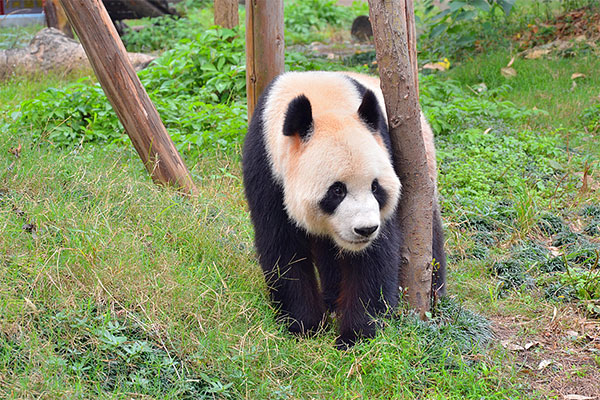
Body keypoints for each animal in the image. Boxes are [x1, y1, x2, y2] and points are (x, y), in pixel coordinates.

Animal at [240, 71, 446, 346]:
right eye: (337, 190)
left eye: (375, 187)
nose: (365, 229)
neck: (323, 102)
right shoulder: (266, 166)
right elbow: (282, 244)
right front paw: (304, 326)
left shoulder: (384, 149)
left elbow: (375, 256)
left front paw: (356, 335)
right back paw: (331, 299)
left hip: (425, 160)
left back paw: (437, 296)